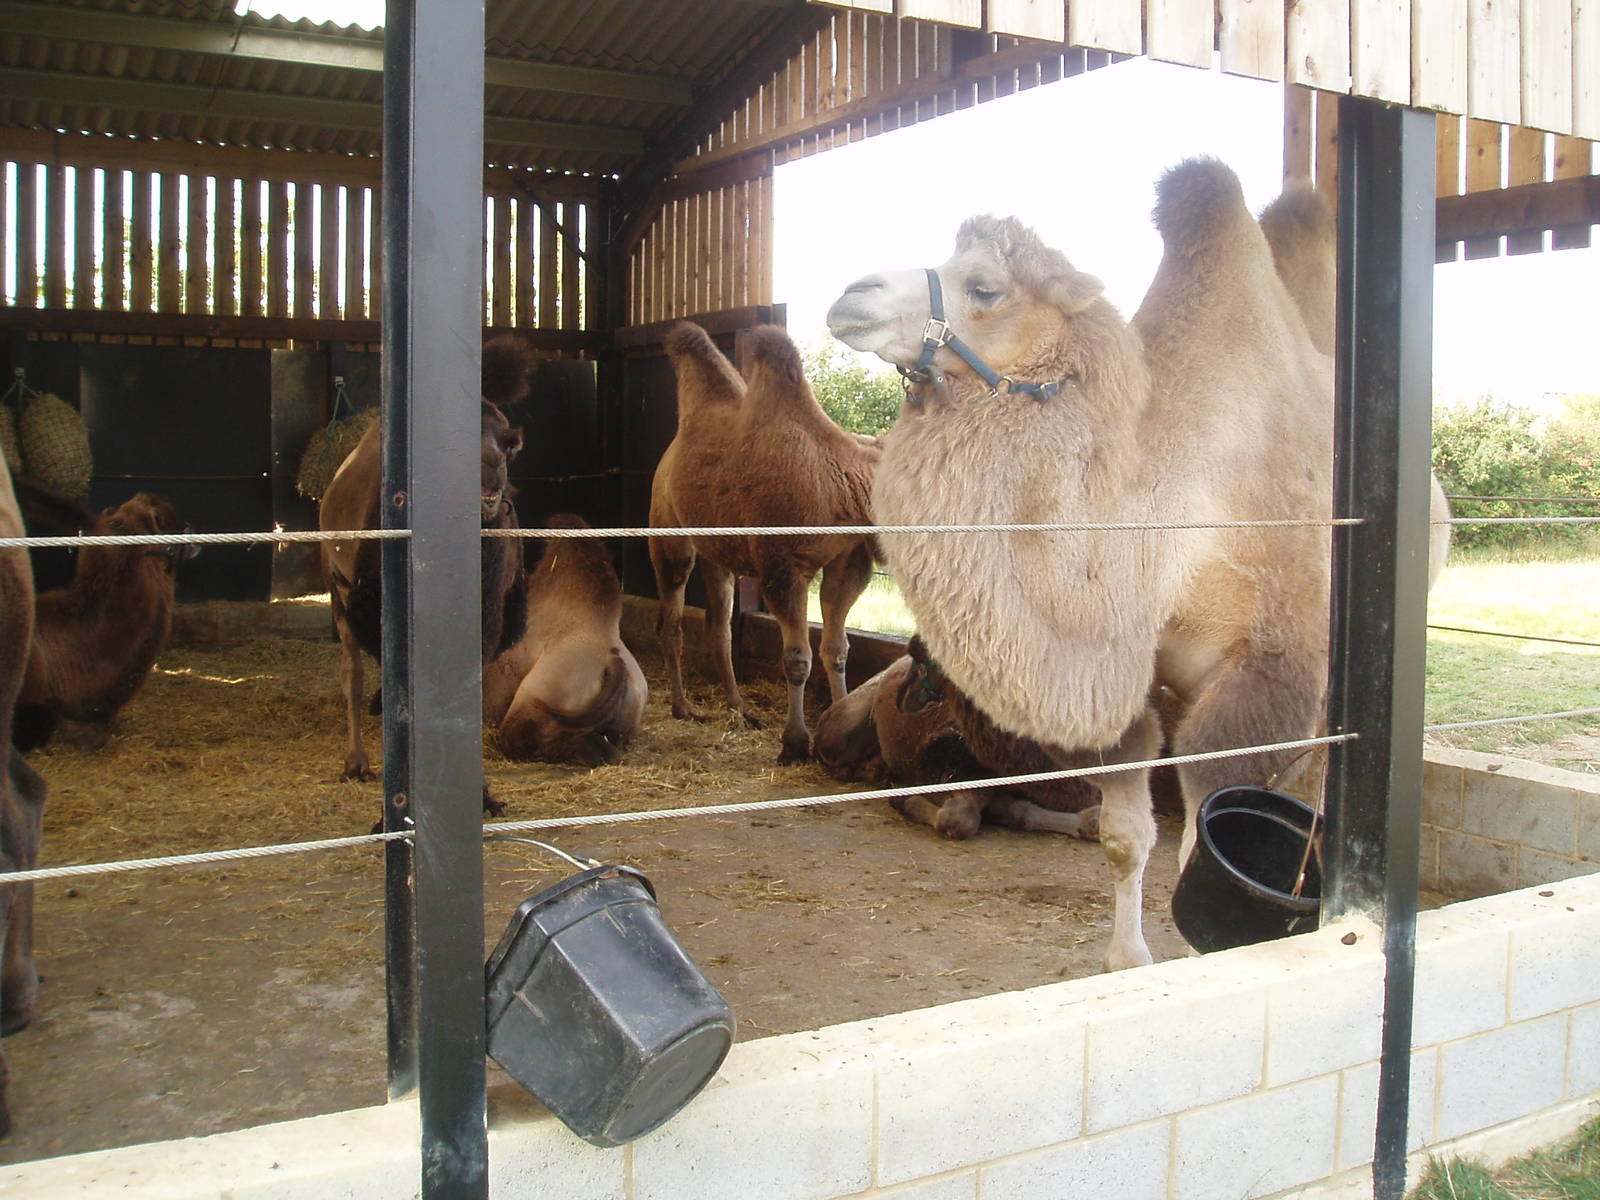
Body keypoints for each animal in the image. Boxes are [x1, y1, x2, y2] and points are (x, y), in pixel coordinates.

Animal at [649, 322, 880, 763]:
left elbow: (837, 648)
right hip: (669, 534)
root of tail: (667, 458)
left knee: (719, 625)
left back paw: (738, 706)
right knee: (671, 616)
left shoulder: (847, 558)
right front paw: (794, 742)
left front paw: (838, 721)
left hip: (717, 554)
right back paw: (683, 707)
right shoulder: (783, 564)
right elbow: (797, 657)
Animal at [827, 158, 1390, 971]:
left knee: (1312, 770)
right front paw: (1129, 962)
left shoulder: (1267, 664)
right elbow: (1126, 834)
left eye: (985, 287)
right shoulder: (1117, 672)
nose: (849, 295)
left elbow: (1205, 822)